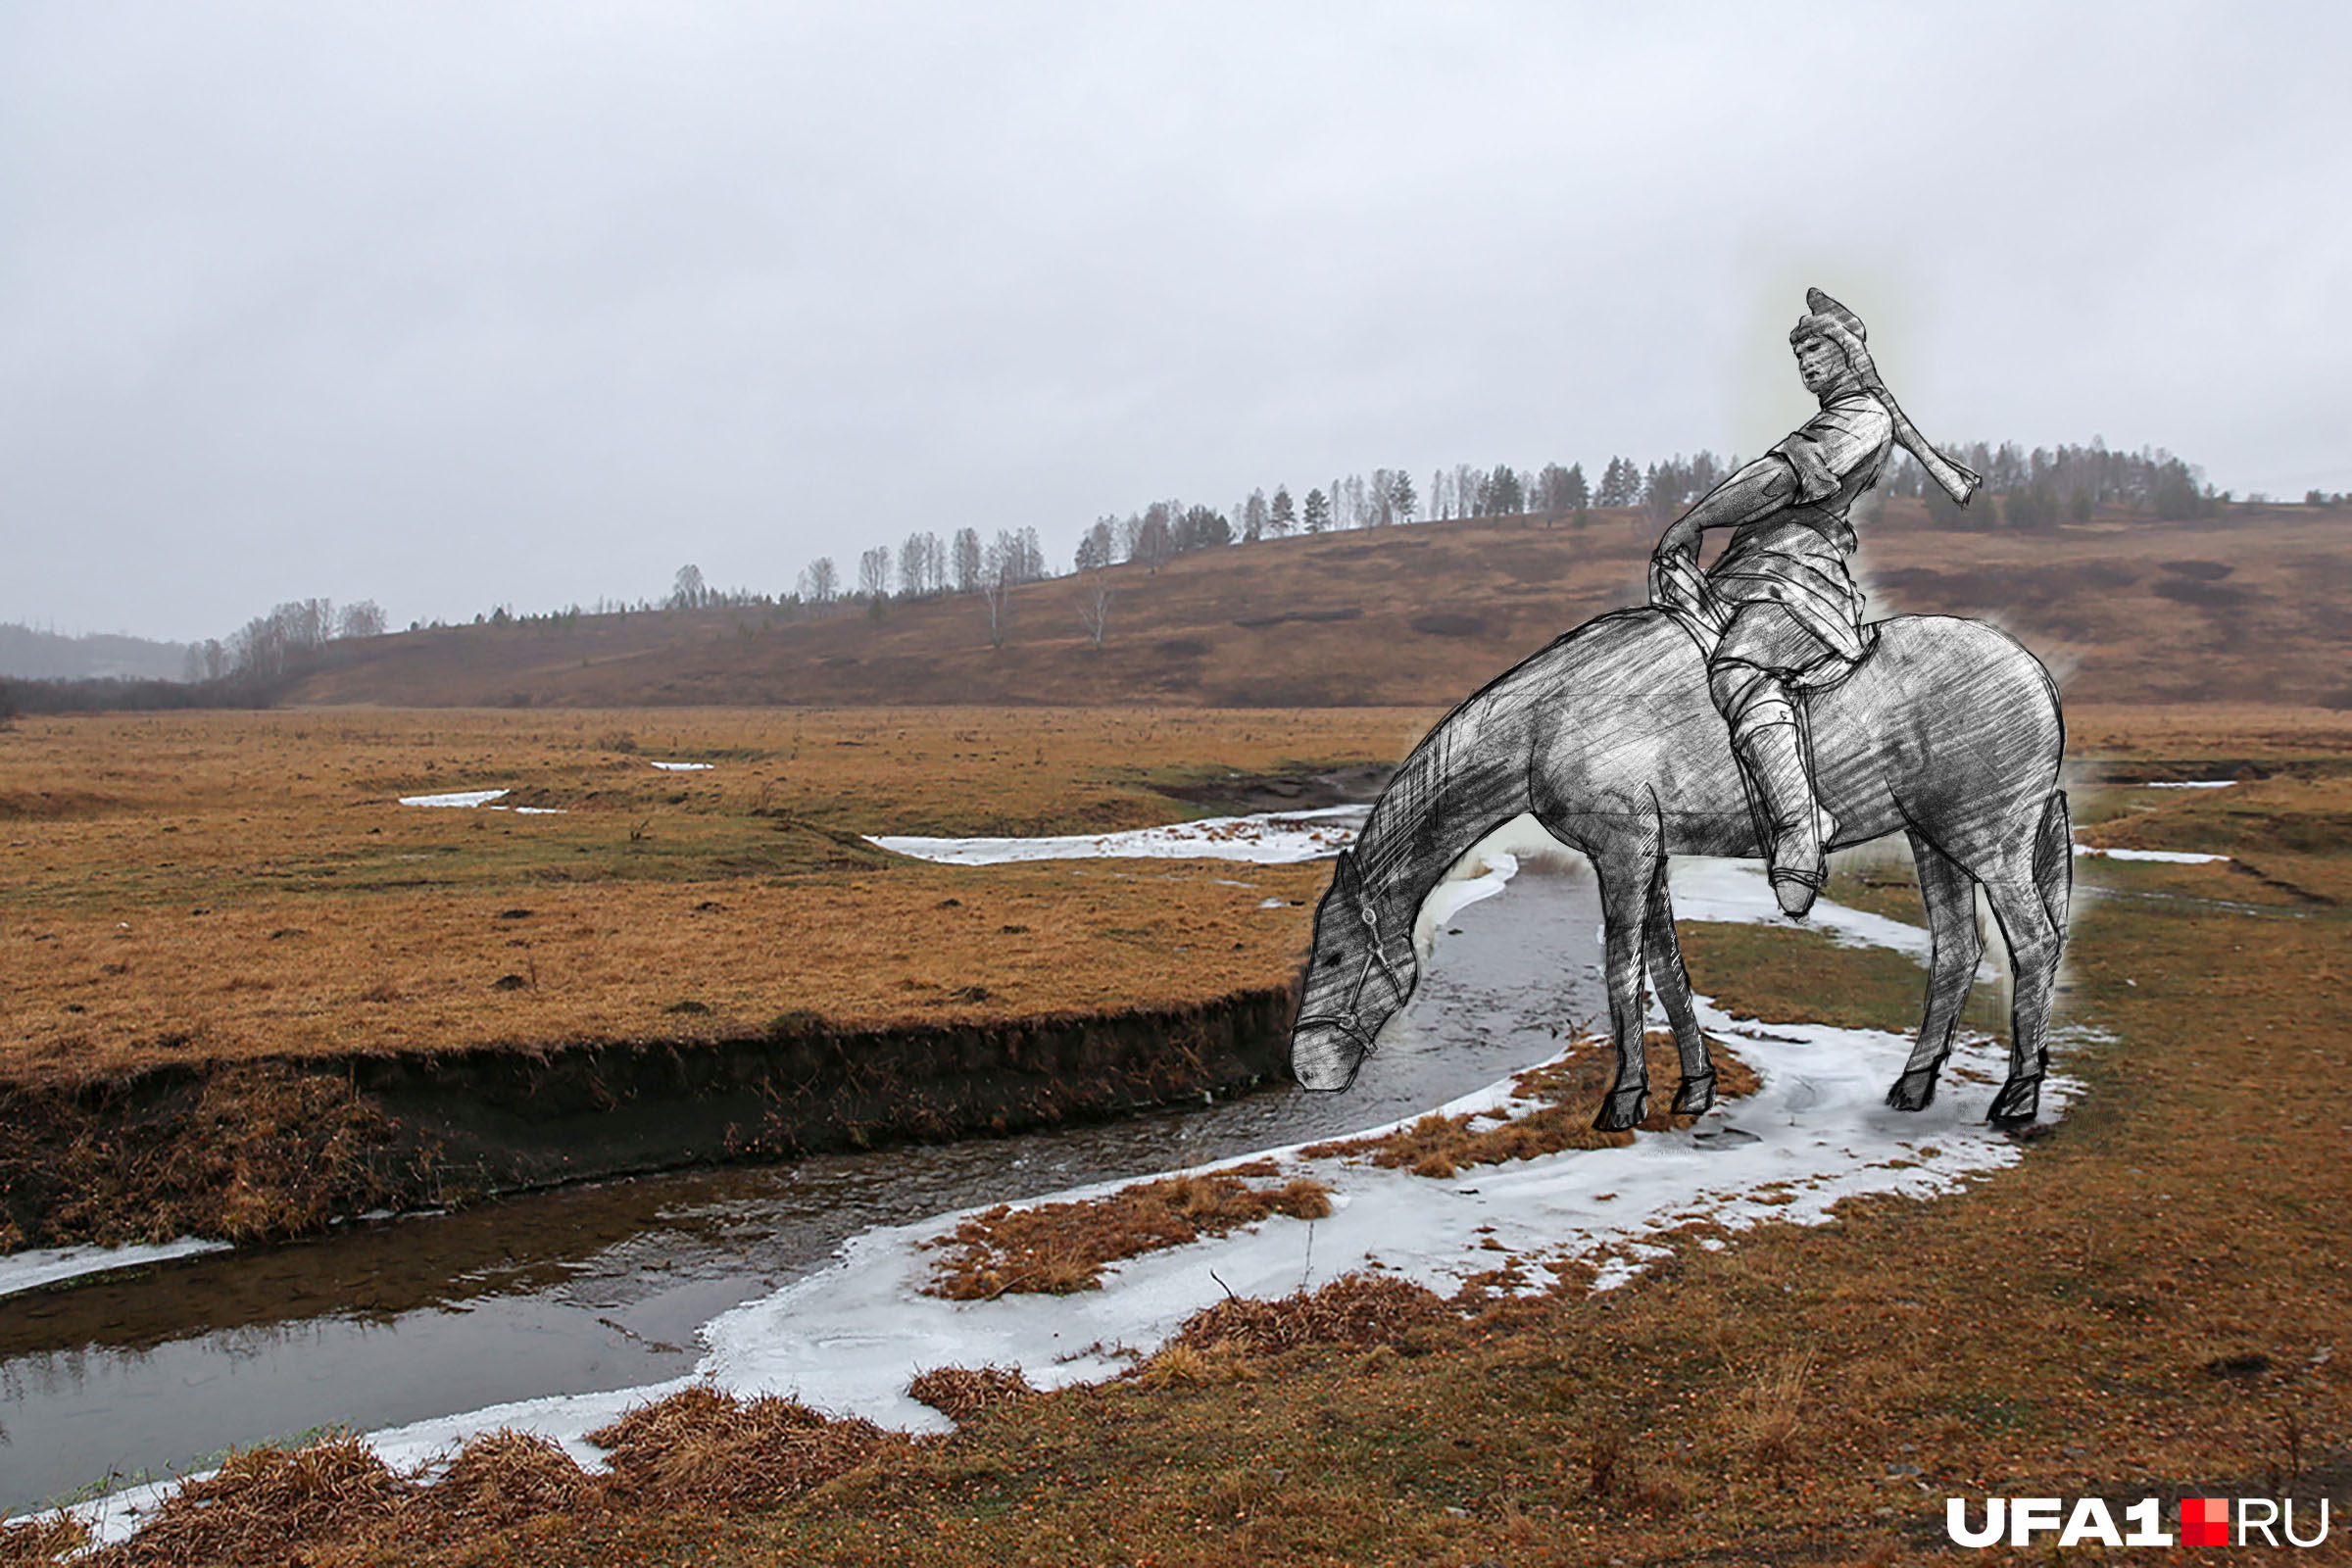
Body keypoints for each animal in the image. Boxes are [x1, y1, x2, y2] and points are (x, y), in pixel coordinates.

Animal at [1298, 606, 2070, 1133]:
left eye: (1334, 955)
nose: (1307, 1070)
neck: (1548, 716)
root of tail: (2035, 672)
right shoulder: (1654, 856)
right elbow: (1669, 972)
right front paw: (1694, 1089)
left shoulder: (1623, 852)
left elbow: (1622, 971)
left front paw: (1623, 1101)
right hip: (1934, 841)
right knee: (1958, 950)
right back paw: (1914, 1086)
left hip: (1988, 841)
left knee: (2034, 944)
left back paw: (2017, 1098)